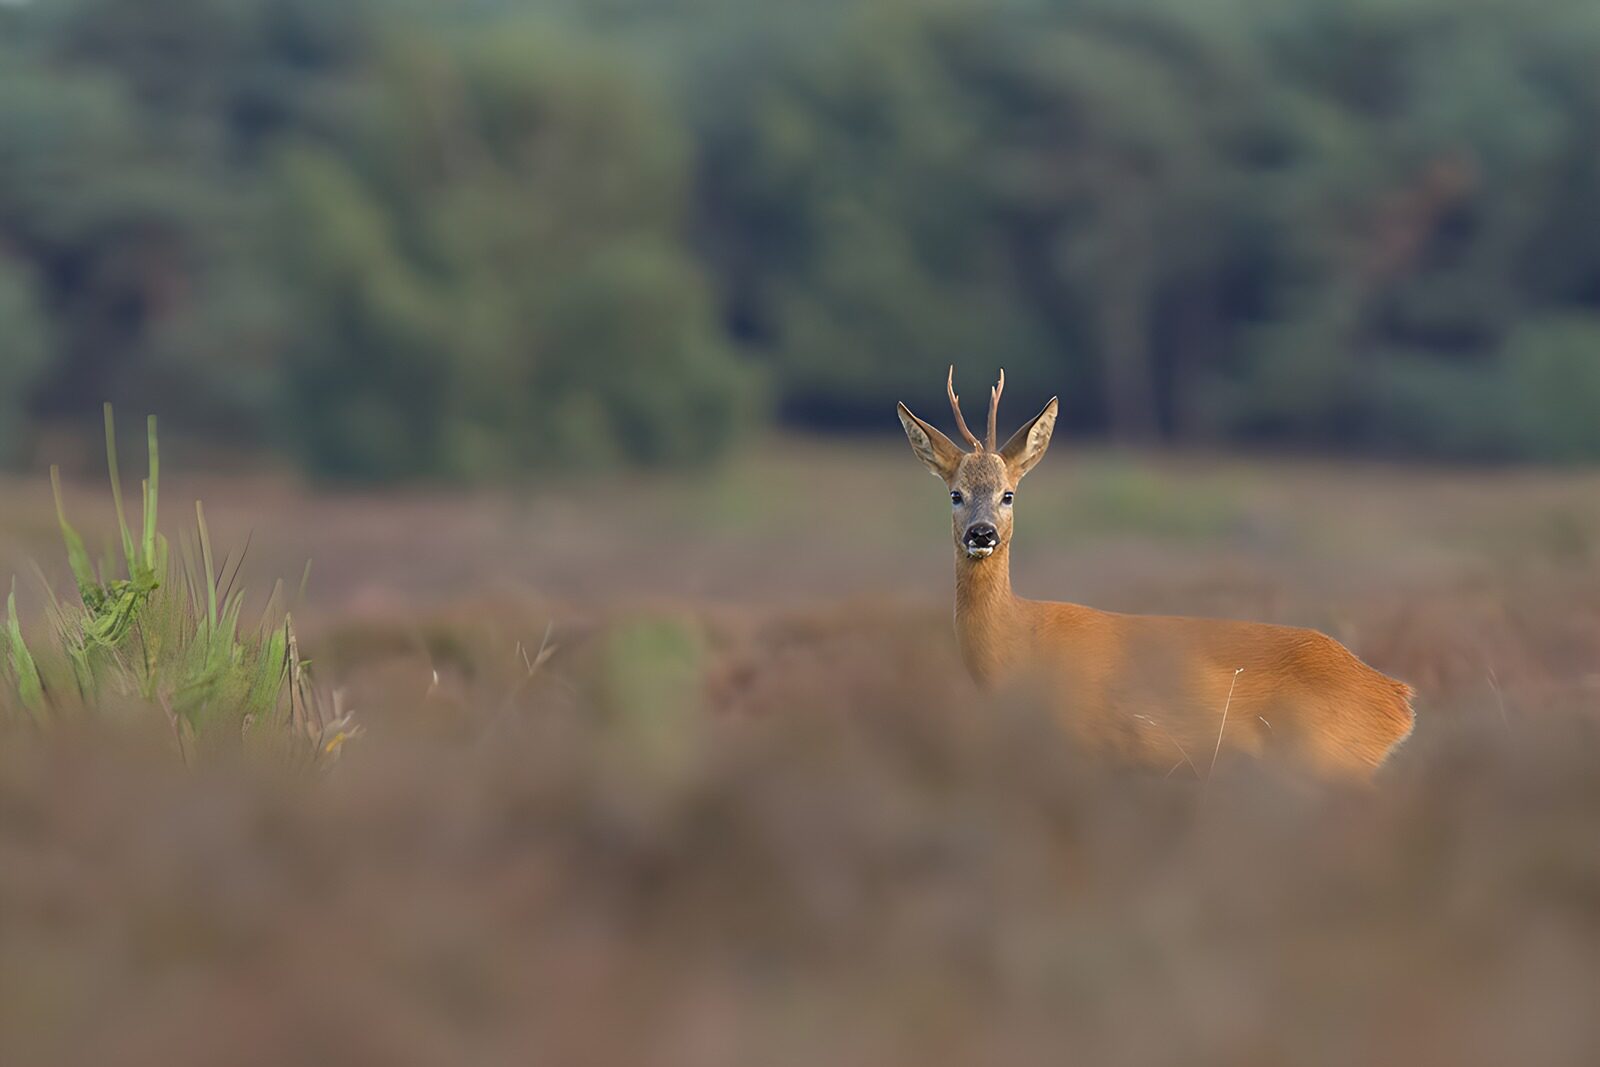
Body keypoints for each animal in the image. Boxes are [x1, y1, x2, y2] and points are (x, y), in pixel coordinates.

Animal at [897, 368, 1415, 779]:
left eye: (1008, 494)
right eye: (956, 494)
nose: (981, 534)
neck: (1019, 639)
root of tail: (1397, 699)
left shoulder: (1090, 744)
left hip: (1324, 759)